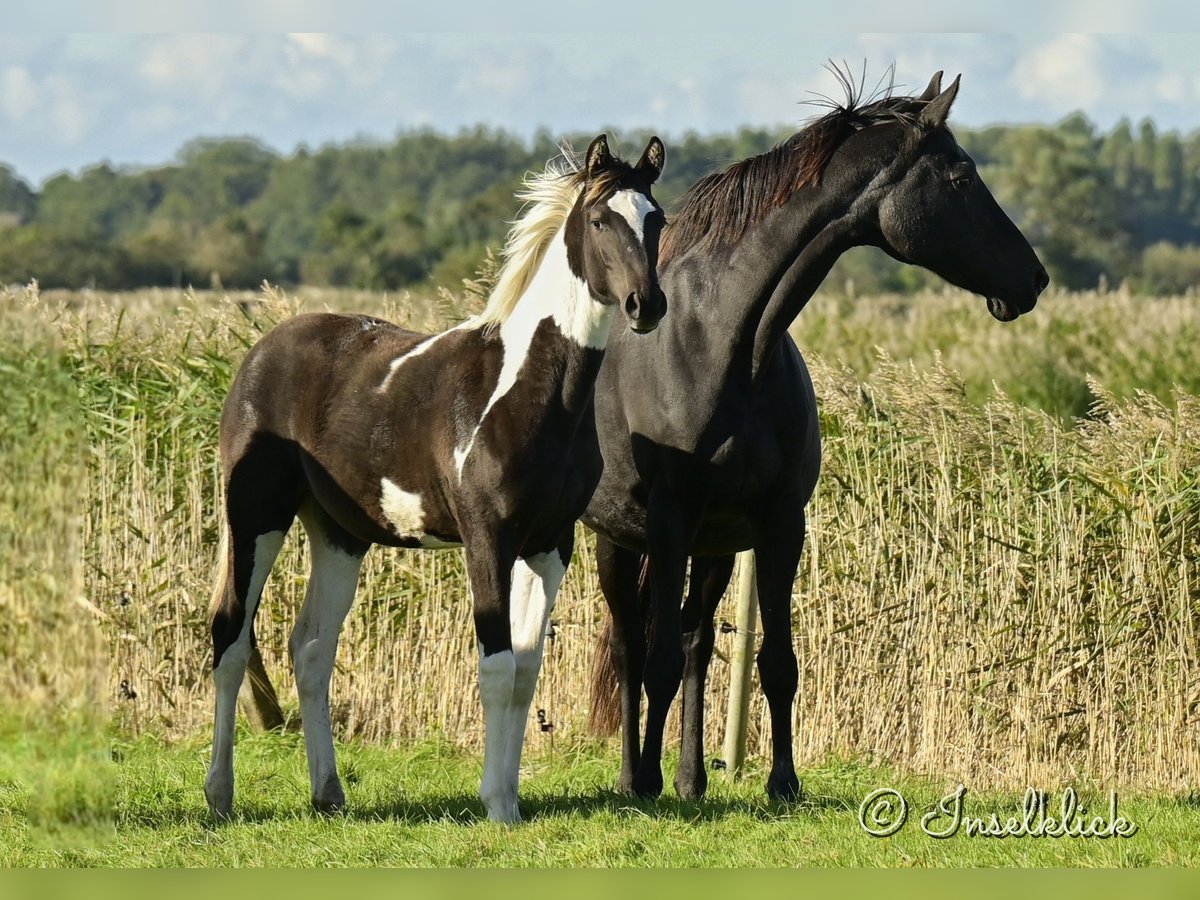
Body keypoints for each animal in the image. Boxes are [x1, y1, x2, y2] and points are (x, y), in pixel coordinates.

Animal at [210, 135, 672, 825]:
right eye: (598, 221)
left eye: (657, 220)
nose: (647, 306)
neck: (523, 392)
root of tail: (259, 355)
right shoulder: (486, 540)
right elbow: (497, 668)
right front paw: (497, 805)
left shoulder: (548, 545)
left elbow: (526, 672)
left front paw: (509, 796)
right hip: (255, 519)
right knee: (231, 637)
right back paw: (219, 795)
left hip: (339, 536)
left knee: (312, 649)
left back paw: (328, 793)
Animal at [585, 72, 1046, 801]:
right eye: (961, 176)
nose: (1033, 278)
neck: (725, 348)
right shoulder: (668, 520)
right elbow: (653, 663)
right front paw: (648, 783)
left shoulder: (779, 523)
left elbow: (775, 661)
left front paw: (783, 783)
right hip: (621, 542)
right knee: (635, 647)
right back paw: (639, 777)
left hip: (715, 550)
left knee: (694, 643)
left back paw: (691, 778)